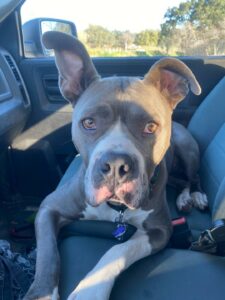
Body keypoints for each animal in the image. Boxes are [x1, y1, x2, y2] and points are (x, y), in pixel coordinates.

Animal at [25, 31, 202, 300]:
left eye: (150, 126)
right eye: (88, 122)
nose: (117, 165)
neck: (116, 209)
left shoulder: (160, 230)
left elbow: (117, 251)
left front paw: (89, 291)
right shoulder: (49, 208)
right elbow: (47, 255)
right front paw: (42, 294)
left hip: (187, 148)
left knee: (193, 177)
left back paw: (196, 196)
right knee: (180, 180)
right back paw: (183, 198)